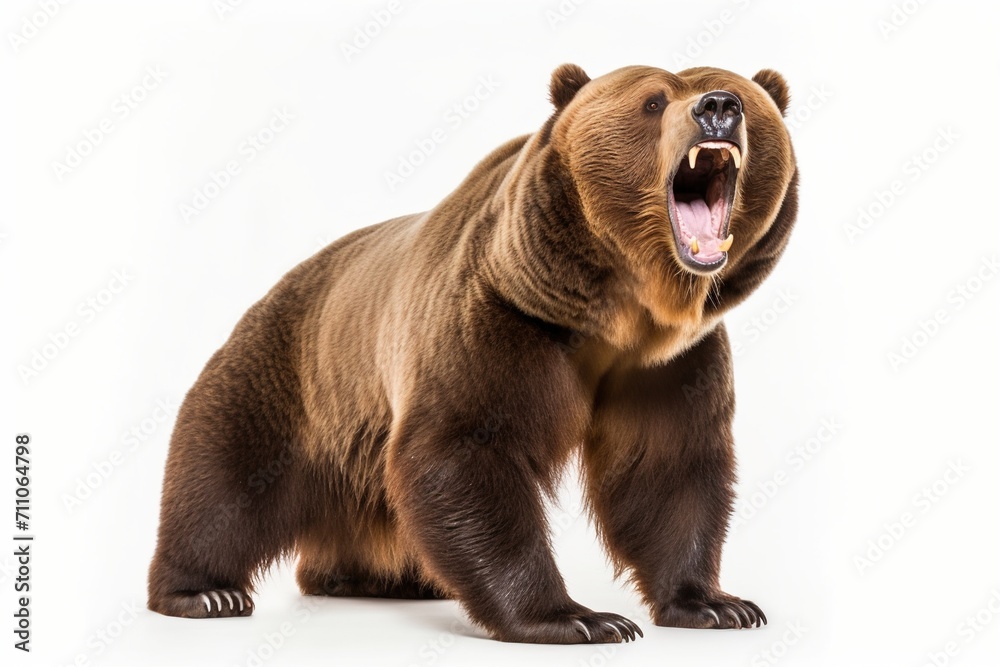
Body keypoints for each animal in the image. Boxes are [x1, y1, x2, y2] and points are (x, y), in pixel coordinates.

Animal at [148, 63, 798, 644]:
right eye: (653, 101)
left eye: (743, 97)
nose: (717, 107)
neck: (617, 310)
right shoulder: (500, 317)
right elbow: (463, 452)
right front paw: (578, 618)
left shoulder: (670, 363)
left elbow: (669, 467)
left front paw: (715, 604)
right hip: (292, 374)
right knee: (225, 476)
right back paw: (204, 591)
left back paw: (382, 579)